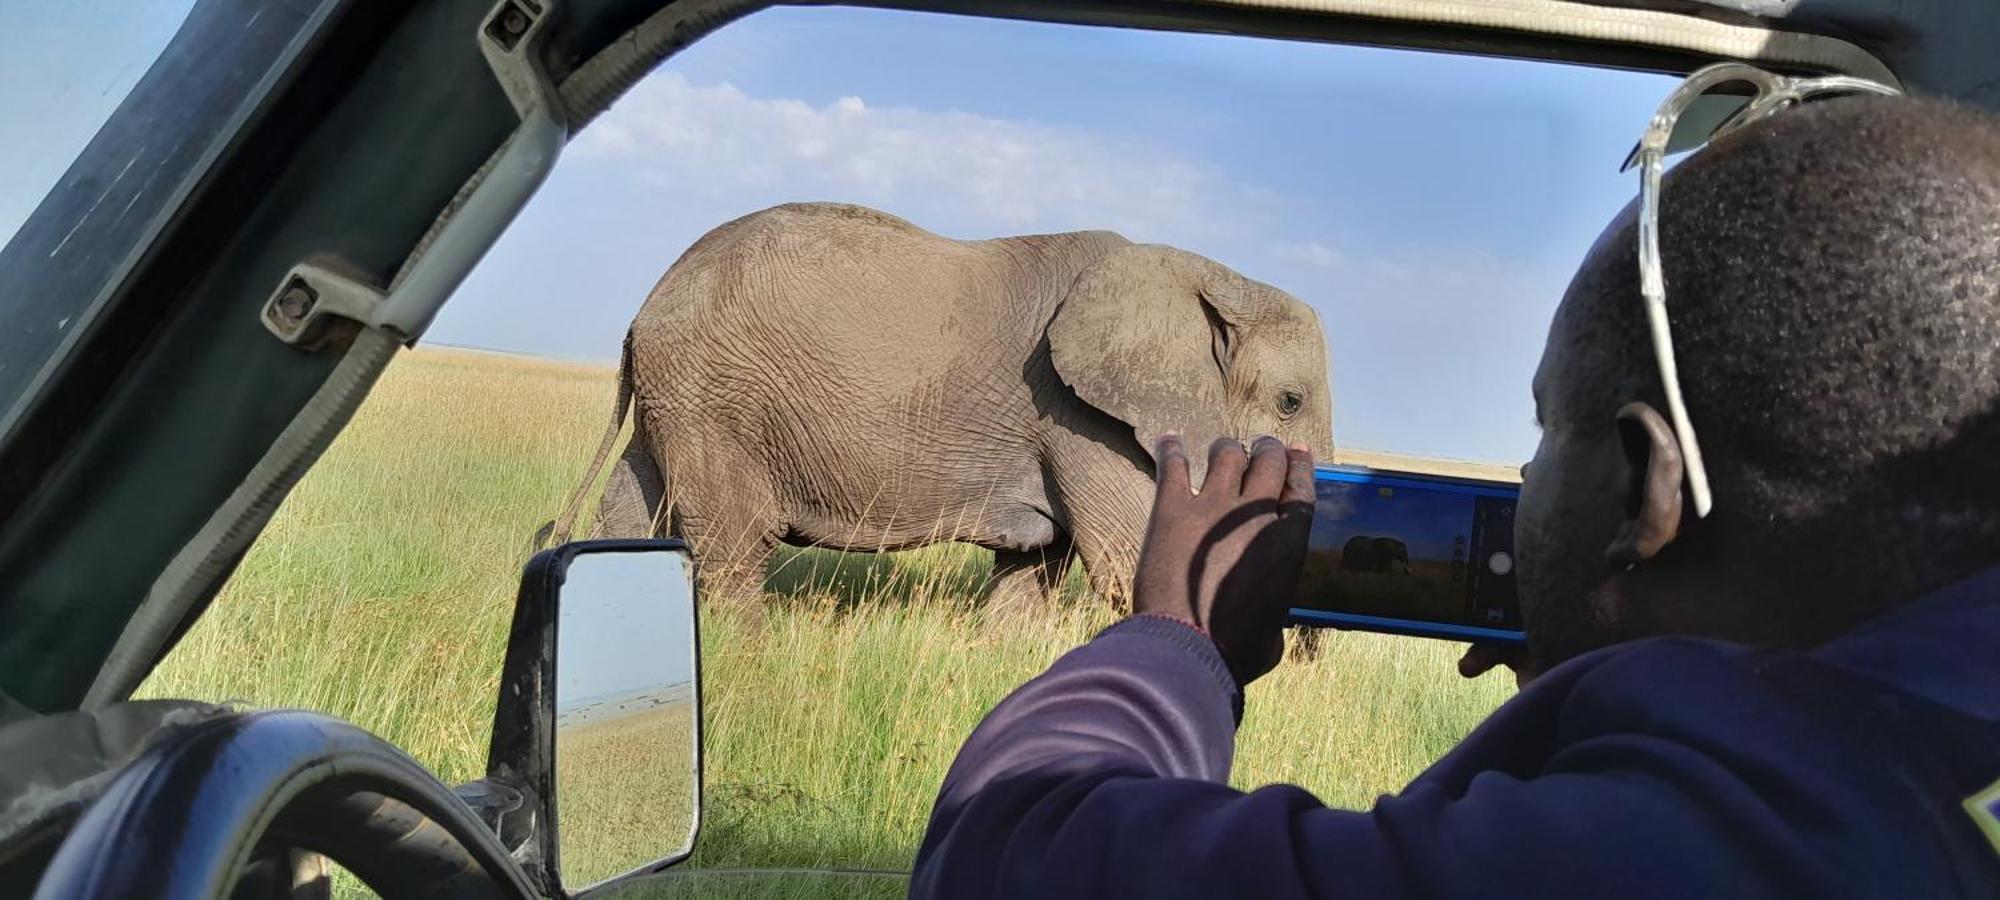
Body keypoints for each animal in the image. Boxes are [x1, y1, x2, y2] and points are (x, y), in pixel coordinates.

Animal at [540, 200, 1336, 616]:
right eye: (1290, 402)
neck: (1215, 275)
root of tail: (646, 308)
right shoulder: (1083, 420)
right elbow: (1139, 564)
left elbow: (1031, 577)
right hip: (717, 401)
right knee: (735, 547)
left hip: (676, 403)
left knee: (632, 519)